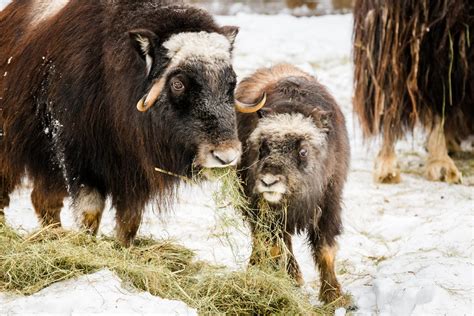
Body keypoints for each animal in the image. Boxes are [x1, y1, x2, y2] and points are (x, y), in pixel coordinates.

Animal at [0, 1, 241, 246]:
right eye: (178, 83)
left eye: (232, 82)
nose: (226, 156)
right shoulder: (79, 157)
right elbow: (90, 212)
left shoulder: (135, 173)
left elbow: (130, 219)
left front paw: (123, 247)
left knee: (43, 199)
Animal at [235, 64, 350, 304]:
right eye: (262, 147)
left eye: (303, 151)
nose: (269, 181)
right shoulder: (263, 208)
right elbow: (274, 244)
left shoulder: (329, 203)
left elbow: (325, 248)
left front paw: (333, 295)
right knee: (264, 239)